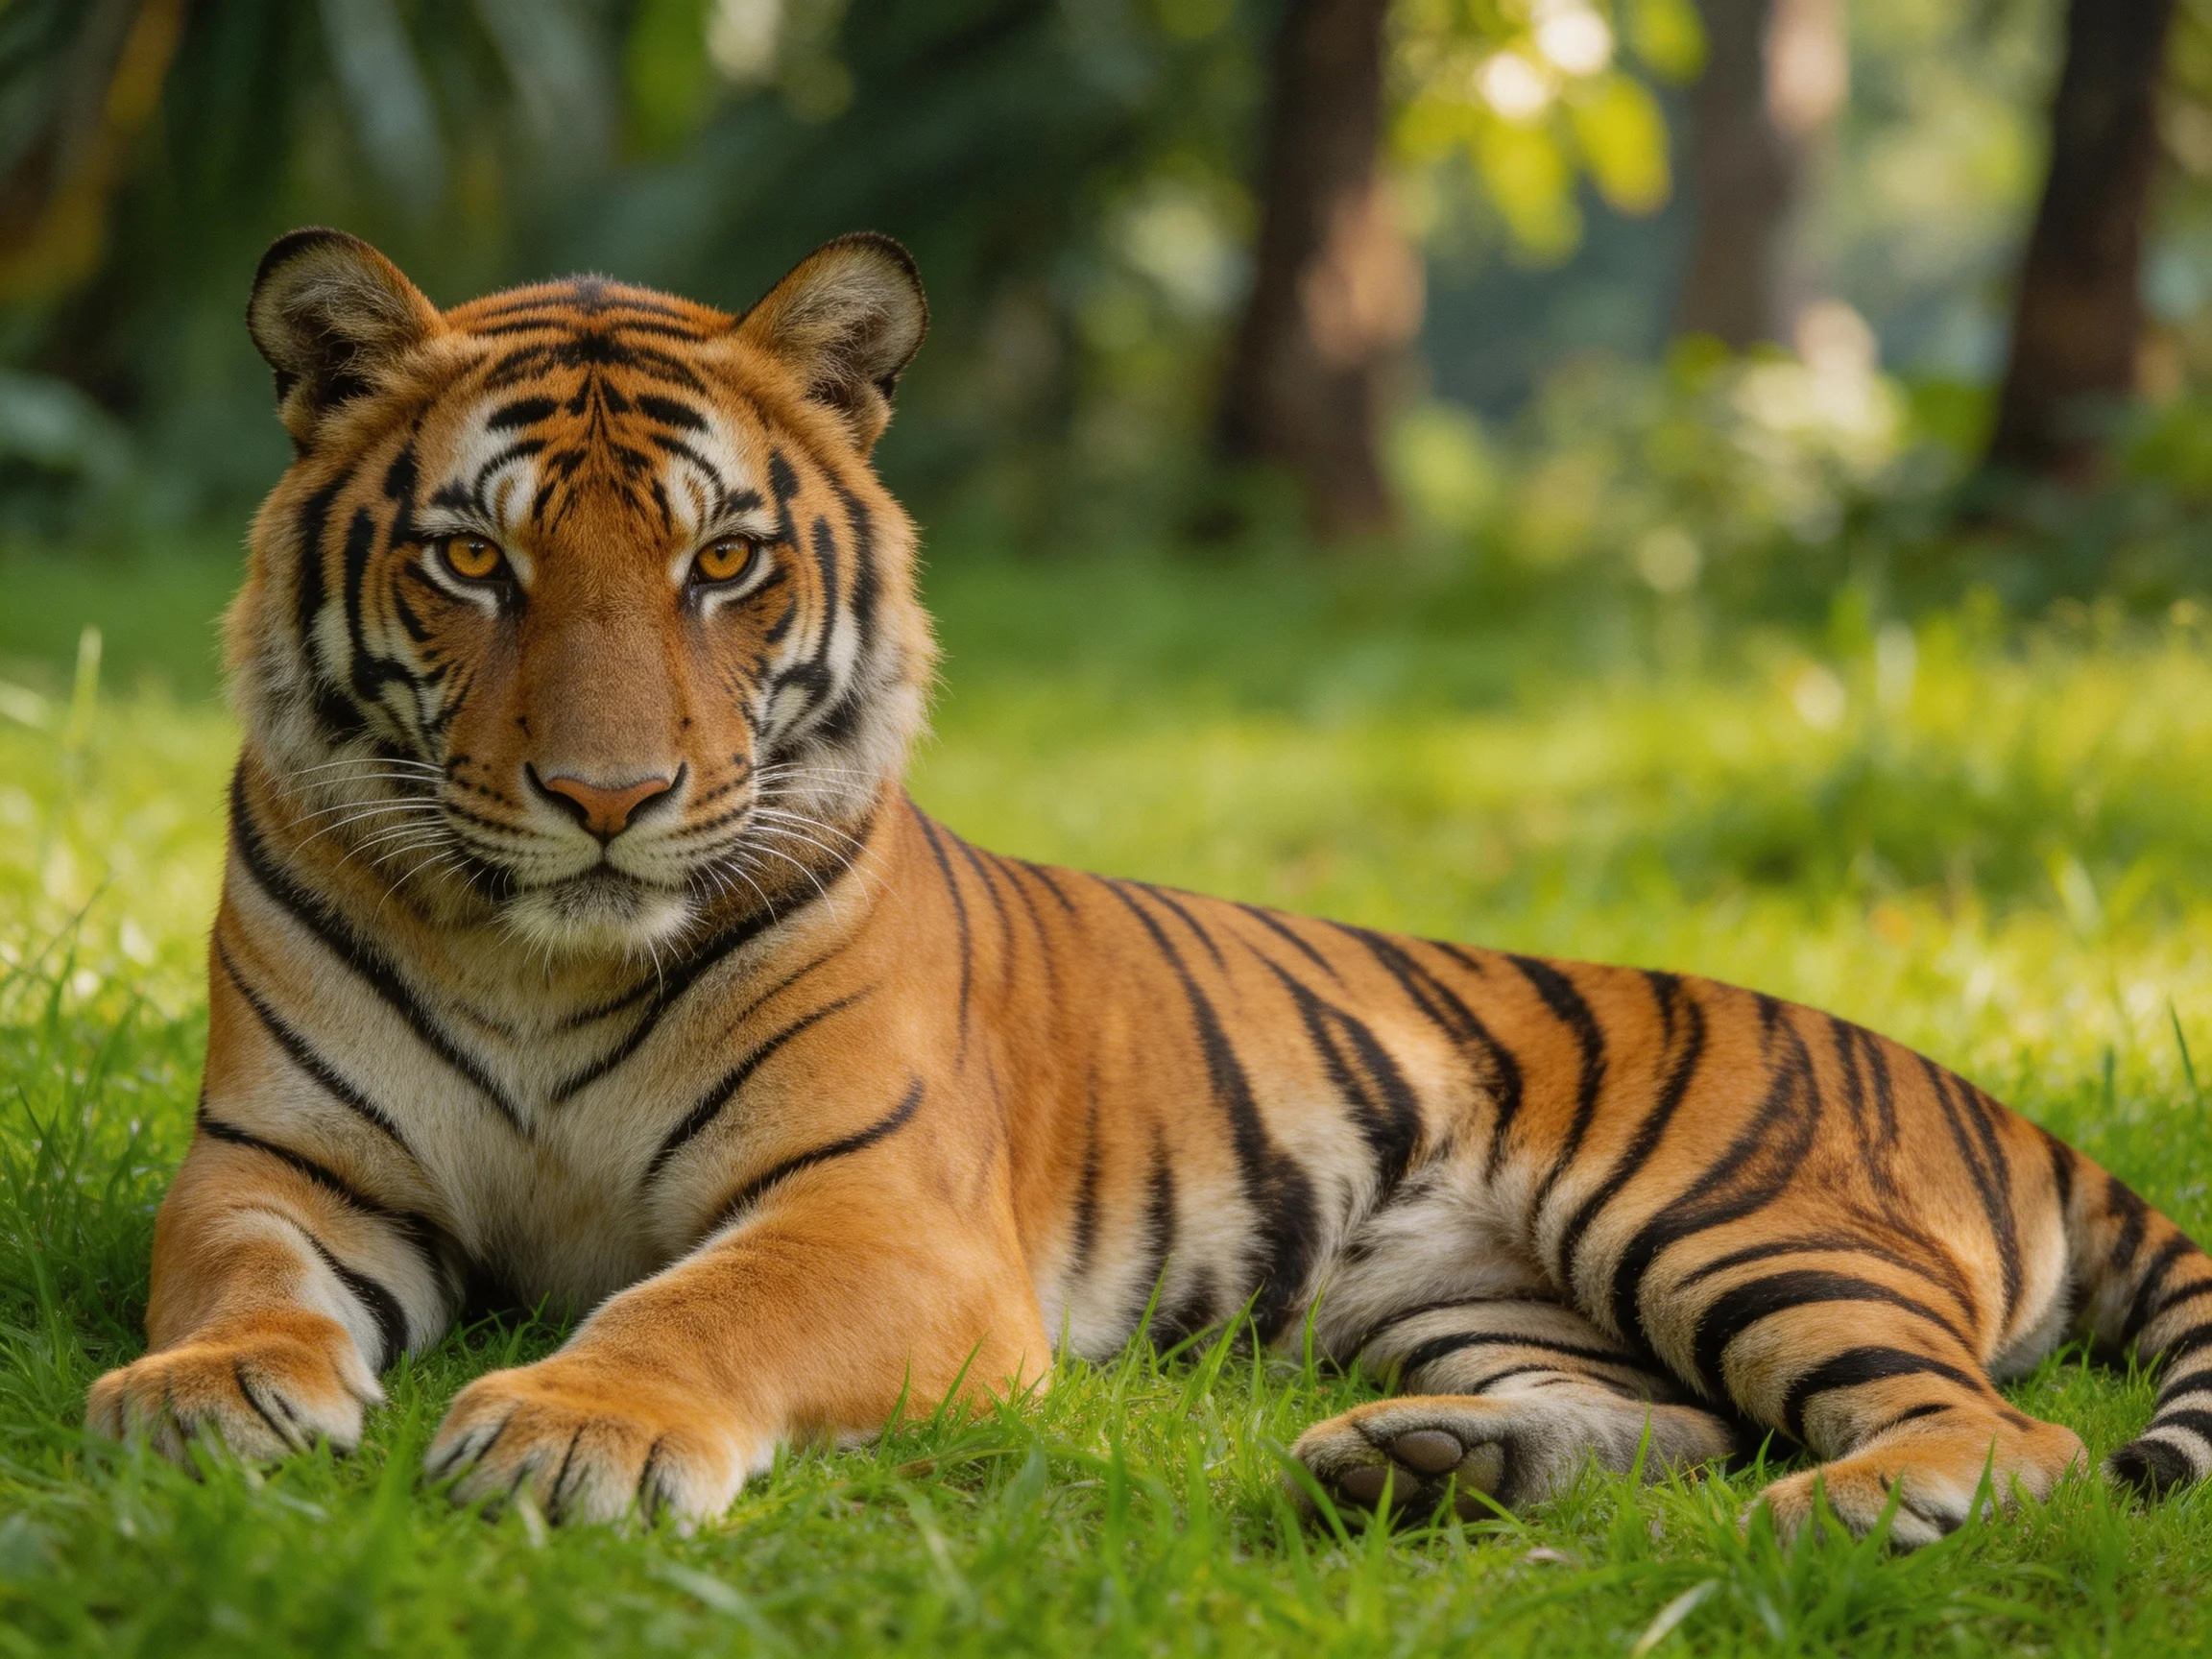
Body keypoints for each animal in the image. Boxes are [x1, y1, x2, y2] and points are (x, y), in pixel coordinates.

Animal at [82, 226, 2212, 1545]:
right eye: (473, 561)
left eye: (722, 562)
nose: (611, 797)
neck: (548, 961)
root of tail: (1964, 1082)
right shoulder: (283, 1162)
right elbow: (240, 1278)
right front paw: (200, 1392)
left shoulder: (876, 1220)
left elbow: (700, 1311)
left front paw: (565, 1430)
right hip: (1455, 1298)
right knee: (1682, 1424)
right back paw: (1427, 1466)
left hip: (1717, 1211)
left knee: (2000, 1429)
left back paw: (1855, 1506)